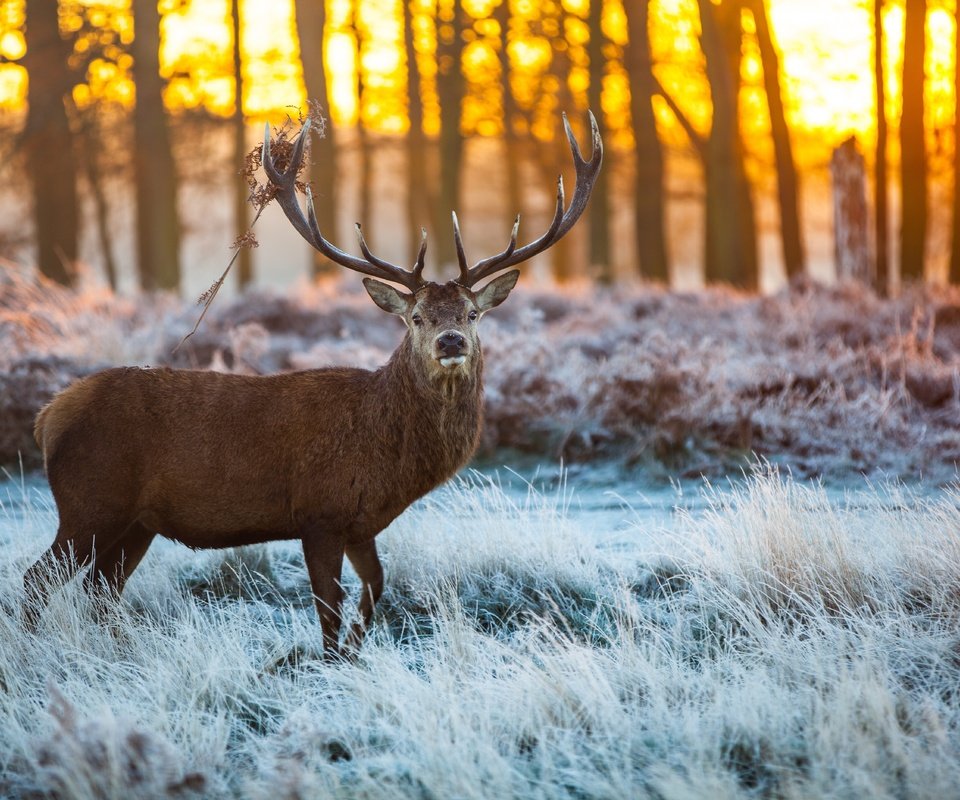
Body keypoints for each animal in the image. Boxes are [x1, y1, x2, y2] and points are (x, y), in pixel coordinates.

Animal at [24, 114, 600, 664]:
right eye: (416, 317)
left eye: (472, 313)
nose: (451, 340)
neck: (390, 459)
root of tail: (47, 416)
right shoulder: (319, 513)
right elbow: (328, 606)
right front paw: (328, 662)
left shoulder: (361, 523)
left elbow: (375, 588)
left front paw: (353, 653)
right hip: (89, 502)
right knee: (39, 582)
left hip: (136, 523)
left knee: (101, 591)